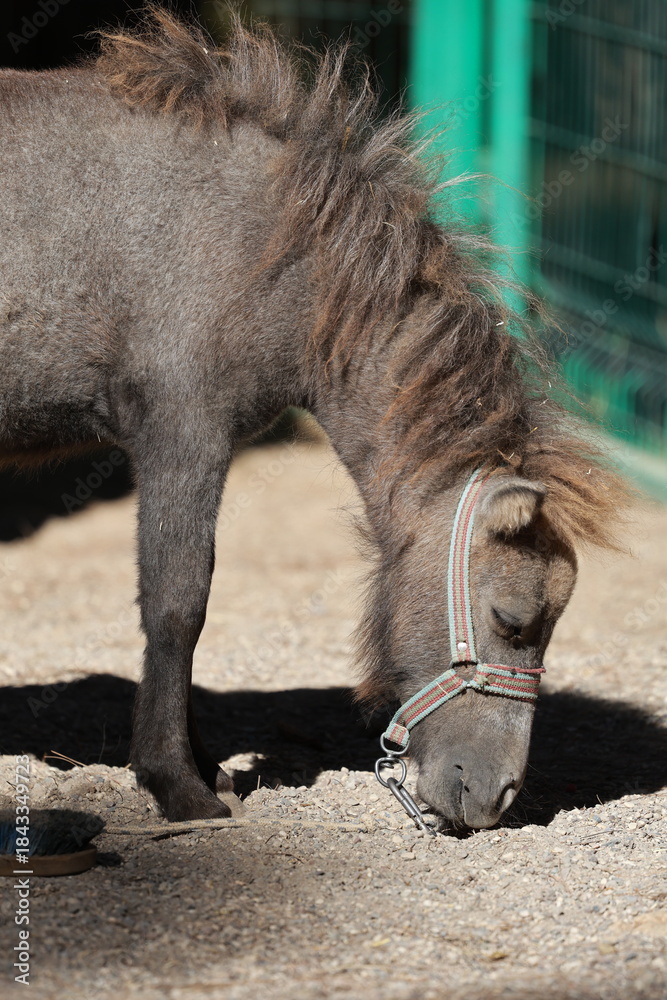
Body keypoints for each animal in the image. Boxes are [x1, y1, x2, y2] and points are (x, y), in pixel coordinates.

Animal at [0, 8, 629, 828]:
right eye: (512, 618)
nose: (496, 798)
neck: (277, 242)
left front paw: (205, 768)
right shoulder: (183, 436)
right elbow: (178, 604)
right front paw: (177, 783)